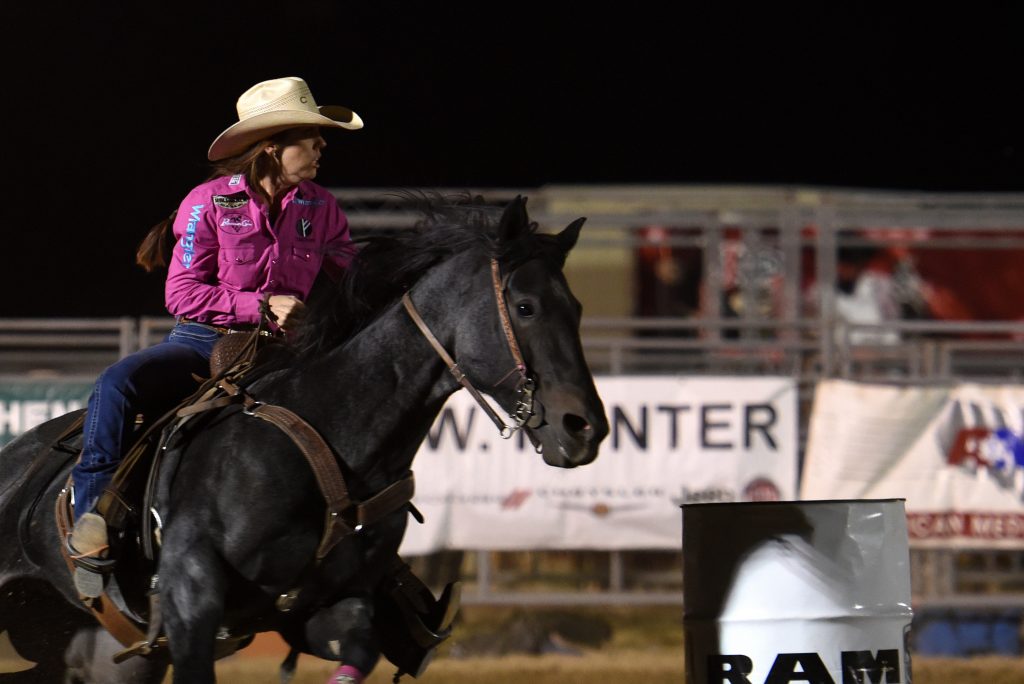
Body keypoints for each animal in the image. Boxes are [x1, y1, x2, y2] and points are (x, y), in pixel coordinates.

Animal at [0, 194, 606, 679]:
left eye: (577, 308)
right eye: (525, 307)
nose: (586, 428)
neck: (330, 431)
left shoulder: (332, 608)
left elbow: (355, 650)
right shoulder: (190, 598)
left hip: (102, 651)